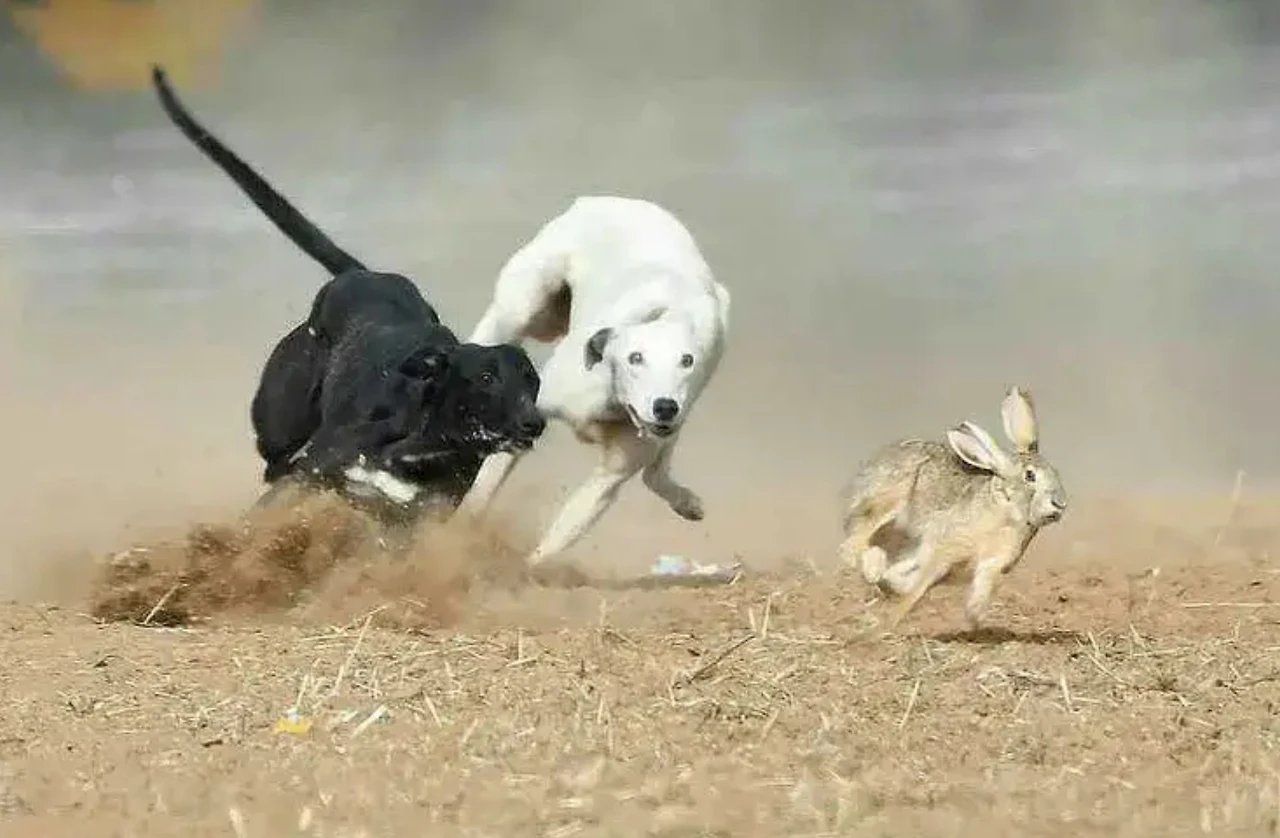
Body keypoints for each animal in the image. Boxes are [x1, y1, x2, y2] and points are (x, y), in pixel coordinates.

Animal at [150, 66, 546, 515]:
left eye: (532, 381)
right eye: (486, 377)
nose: (534, 422)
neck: (423, 439)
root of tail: (362, 275)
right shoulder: (313, 469)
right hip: (279, 429)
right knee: (273, 462)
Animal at [457, 196, 730, 565]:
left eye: (687, 361)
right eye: (635, 358)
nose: (664, 407)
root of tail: (612, 200)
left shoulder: (611, 475)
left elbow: (556, 539)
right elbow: (482, 489)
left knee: (656, 473)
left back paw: (686, 501)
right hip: (520, 308)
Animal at [838, 386, 1068, 631]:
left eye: (1056, 472)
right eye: (1030, 476)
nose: (1060, 503)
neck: (1007, 511)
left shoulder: (990, 564)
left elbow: (979, 589)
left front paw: (976, 620)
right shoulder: (944, 550)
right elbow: (916, 589)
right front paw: (889, 622)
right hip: (885, 503)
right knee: (853, 544)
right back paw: (873, 567)